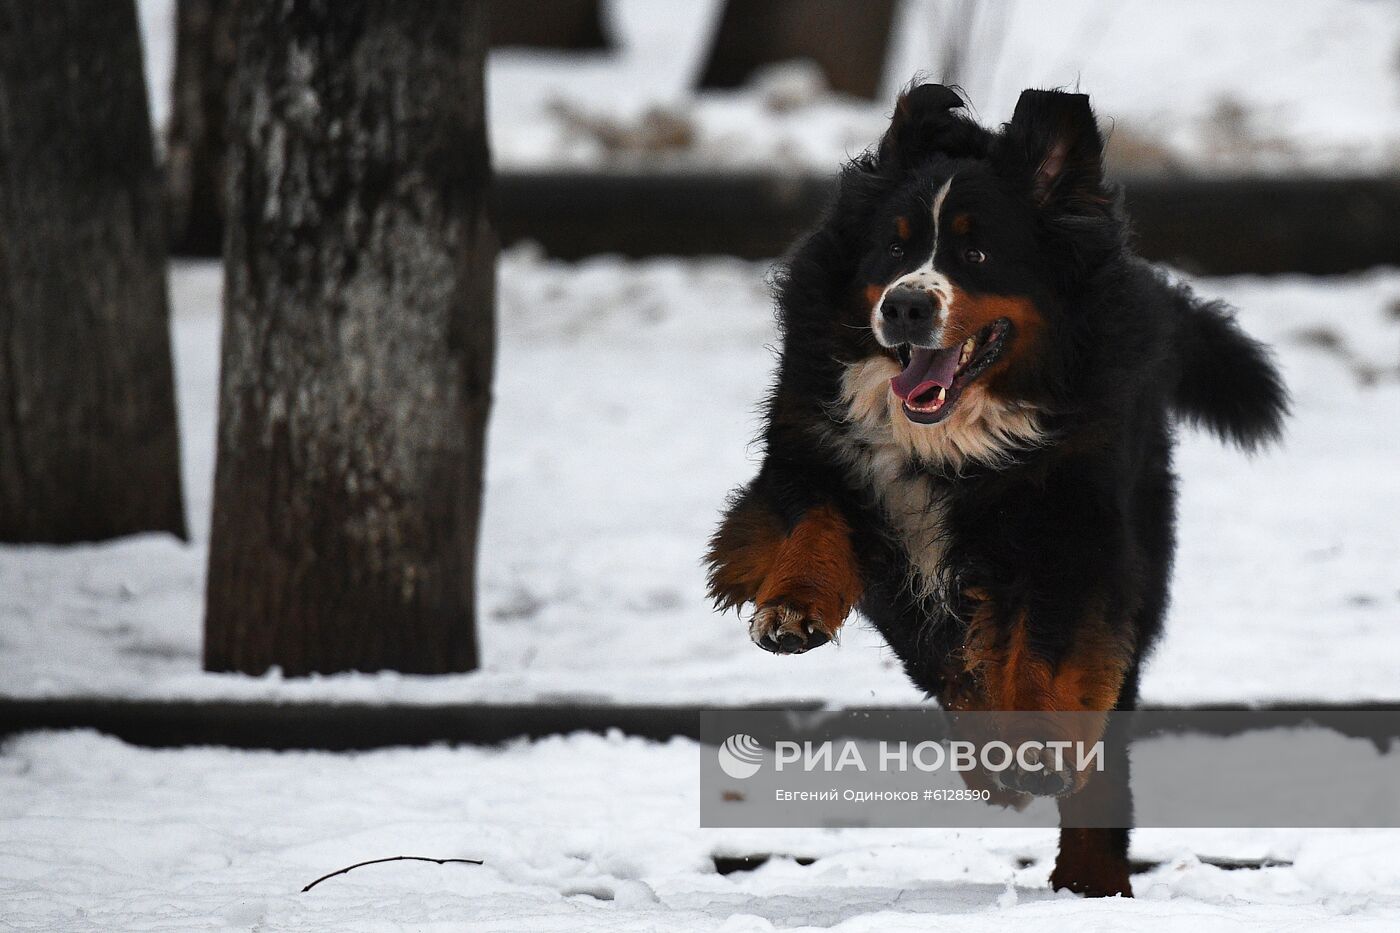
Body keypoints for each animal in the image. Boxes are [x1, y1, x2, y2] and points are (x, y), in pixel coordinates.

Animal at [705, 85, 1282, 896]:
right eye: (893, 249)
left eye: (977, 254)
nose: (904, 306)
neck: (953, 442)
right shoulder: (817, 453)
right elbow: (815, 526)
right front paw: (791, 611)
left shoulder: (1068, 526)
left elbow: (1039, 646)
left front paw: (1033, 753)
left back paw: (1092, 877)